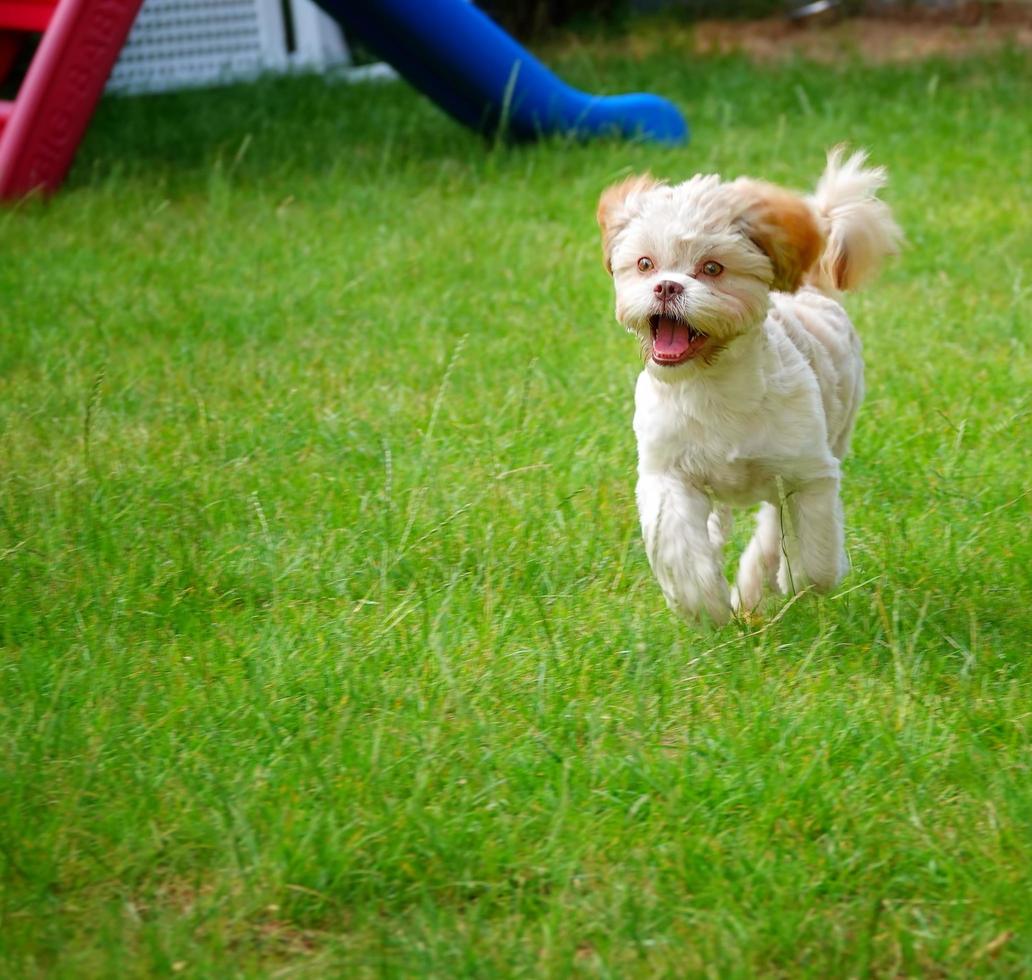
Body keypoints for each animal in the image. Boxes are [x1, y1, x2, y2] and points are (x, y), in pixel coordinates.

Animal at [602, 151, 899, 627]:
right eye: (645, 264)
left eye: (712, 268)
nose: (666, 286)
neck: (711, 385)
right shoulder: (667, 474)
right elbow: (680, 546)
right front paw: (703, 604)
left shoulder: (809, 474)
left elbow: (814, 558)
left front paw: (794, 582)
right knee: (718, 522)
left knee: (770, 531)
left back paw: (756, 586)